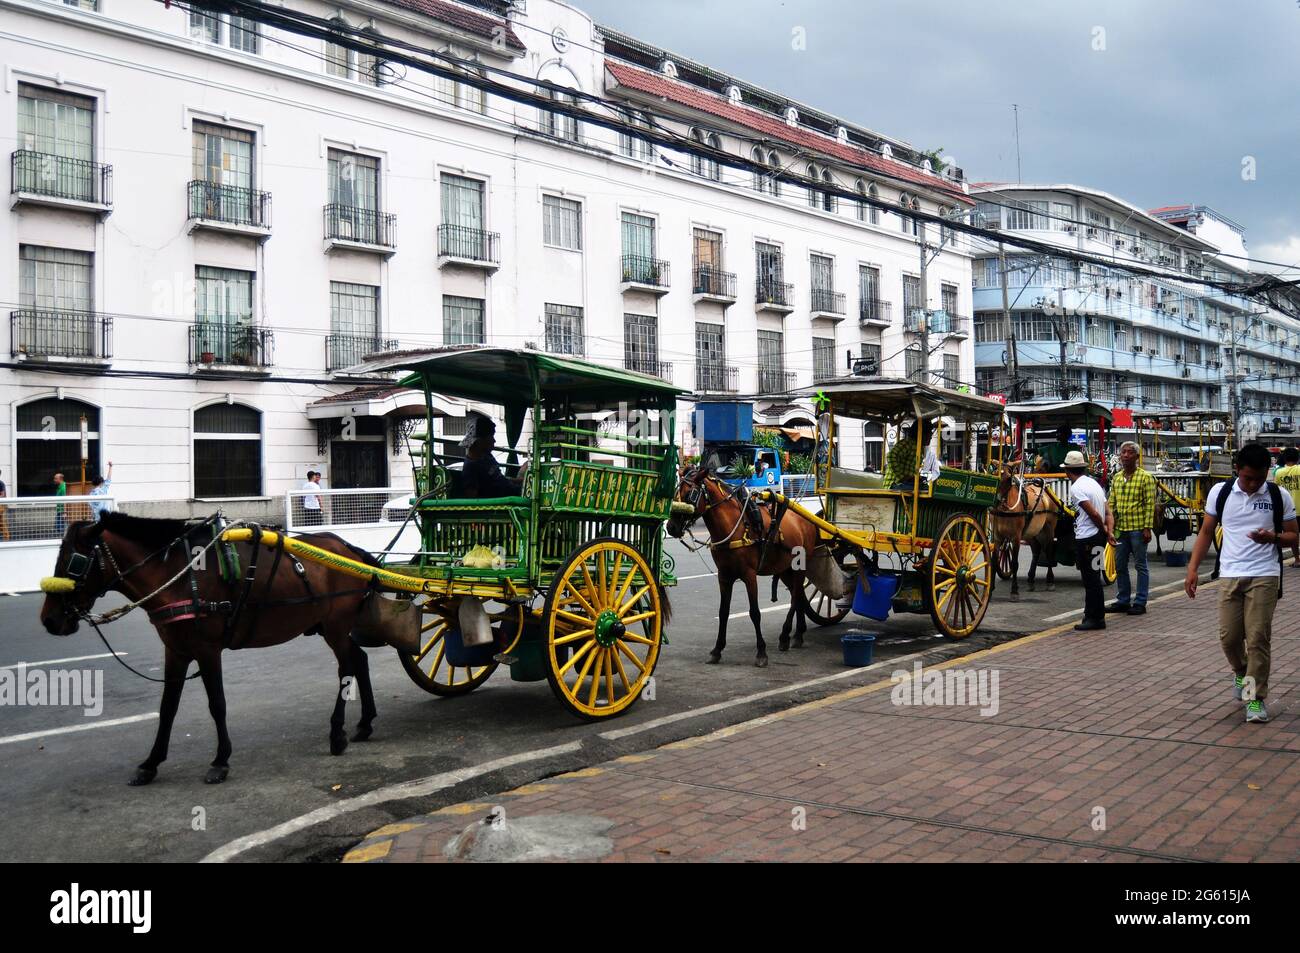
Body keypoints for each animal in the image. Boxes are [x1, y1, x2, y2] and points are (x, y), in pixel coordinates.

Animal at [39, 517, 379, 785]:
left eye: (74, 561)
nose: (49, 619)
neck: (180, 577)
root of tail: (350, 551)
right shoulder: (175, 651)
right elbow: (167, 708)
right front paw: (151, 763)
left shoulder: (207, 650)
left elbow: (217, 704)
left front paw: (221, 760)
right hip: (325, 625)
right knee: (359, 660)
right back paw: (364, 724)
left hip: (335, 626)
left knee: (346, 669)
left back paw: (337, 733)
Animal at [665, 465, 816, 660]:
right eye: (676, 492)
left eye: (691, 494)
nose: (671, 527)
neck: (733, 527)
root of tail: (805, 518)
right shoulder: (724, 576)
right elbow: (723, 612)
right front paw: (718, 649)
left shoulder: (749, 575)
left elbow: (755, 612)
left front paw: (761, 651)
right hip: (785, 568)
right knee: (798, 596)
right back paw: (798, 633)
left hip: (800, 567)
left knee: (796, 596)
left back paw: (785, 635)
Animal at [987, 462, 1060, 603]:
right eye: (994, 474)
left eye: (1009, 478)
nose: (996, 501)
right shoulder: (998, 537)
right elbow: (994, 562)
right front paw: (990, 590)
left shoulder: (1016, 537)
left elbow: (1015, 563)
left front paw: (1014, 591)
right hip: (1031, 532)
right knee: (1036, 550)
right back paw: (1031, 580)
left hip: (1048, 529)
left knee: (1048, 551)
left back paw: (1050, 581)